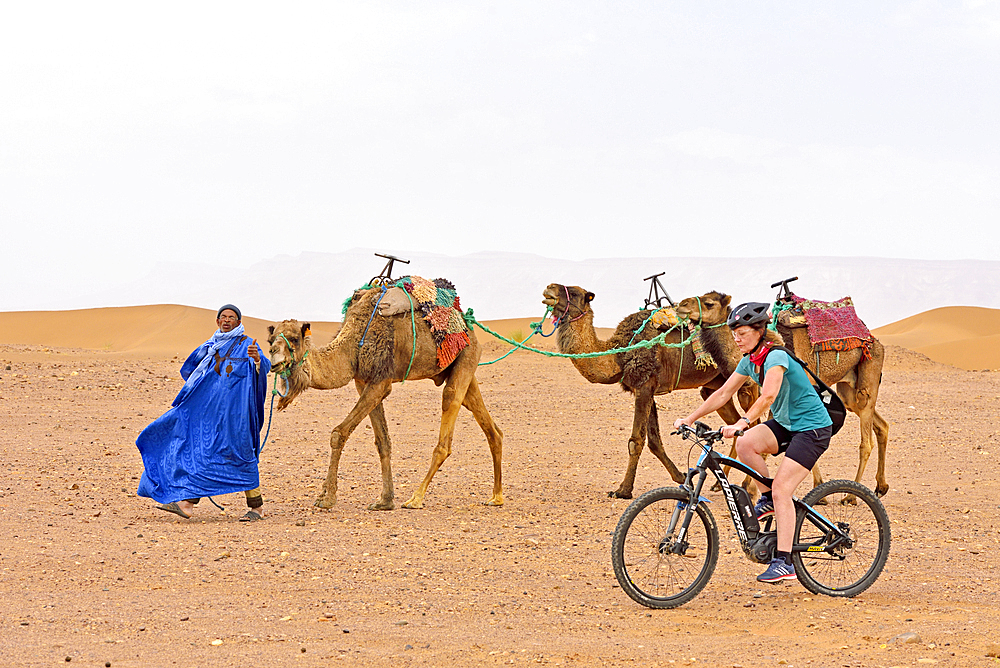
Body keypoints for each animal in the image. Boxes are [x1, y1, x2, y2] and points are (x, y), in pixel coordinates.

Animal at [268, 284, 504, 512]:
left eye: (294, 339)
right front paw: (384, 501)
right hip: (460, 367)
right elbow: (383, 441)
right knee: (490, 426)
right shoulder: (363, 383)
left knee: (450, 405)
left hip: (467, 355)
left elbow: (339, 433)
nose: (274, 358)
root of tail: (468, 327)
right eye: (270, 340)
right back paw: (496, 496)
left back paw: (416, 498)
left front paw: (327, 498)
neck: (352, 346)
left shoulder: (380, 381)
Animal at [544, 284, 752, 498]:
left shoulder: (644, 385)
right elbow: (653, 440)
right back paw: (719, 484)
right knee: (738, 423)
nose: (549, 289)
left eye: (574, 293)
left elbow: (635, 441)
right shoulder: (646, 389)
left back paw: (747, 486)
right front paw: (680, 477)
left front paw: (623, 490)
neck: (619, 355)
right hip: (715, 386)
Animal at [680, 290, 892, 498]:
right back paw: (881, 487)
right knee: (880, 425)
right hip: (848, 390)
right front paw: (817, 484)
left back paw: (851, 496)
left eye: (709, 303)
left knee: (866, 439)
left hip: (869, 372)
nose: (682, 305)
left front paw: (750, 487)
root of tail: (874, 340)